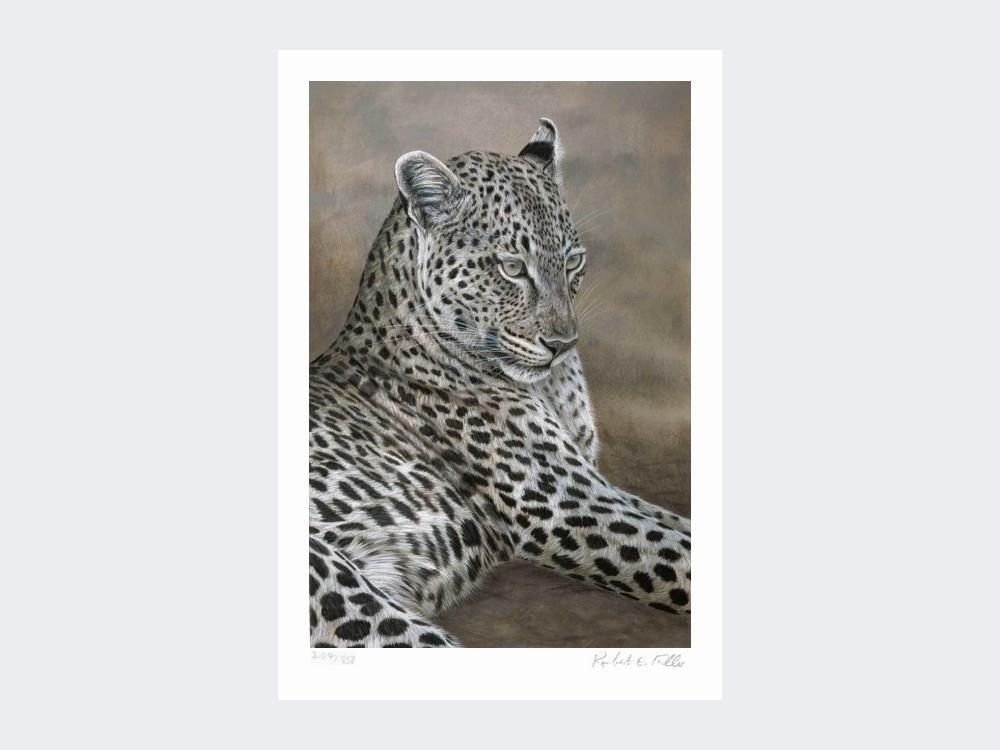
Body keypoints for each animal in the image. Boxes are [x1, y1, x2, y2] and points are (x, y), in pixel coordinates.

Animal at [309, 118, 691, 647]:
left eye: (573, 262)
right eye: (512, 268)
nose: (563, 343)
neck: (552, 386)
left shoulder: (592, 484)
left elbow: (678, 522)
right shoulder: (564, 504)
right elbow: (679, 556)